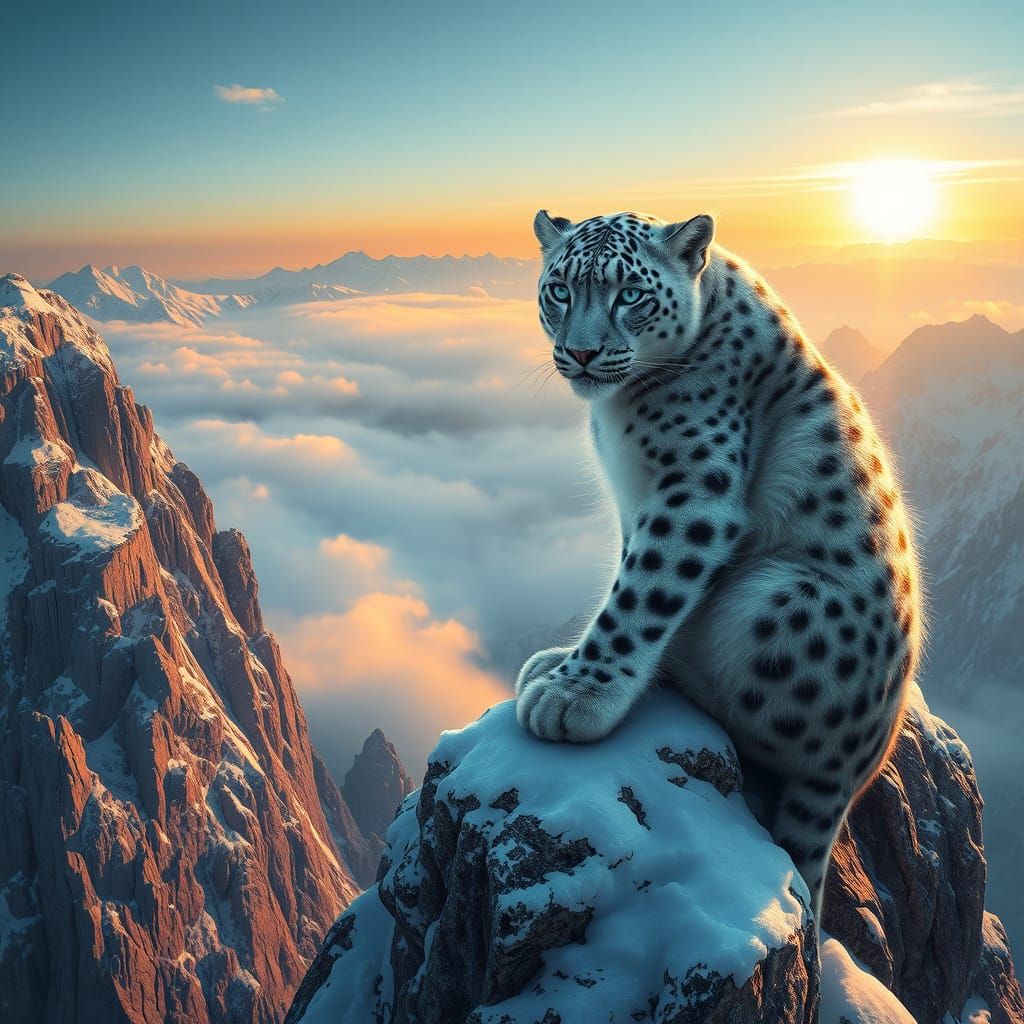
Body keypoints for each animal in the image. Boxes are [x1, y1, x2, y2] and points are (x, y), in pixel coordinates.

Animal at [516, 209, 923, 925]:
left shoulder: (690, 495)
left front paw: (575, 694)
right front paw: (567, 666)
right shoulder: (637, 504)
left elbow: (641, 597)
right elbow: (629, 582)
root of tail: (857, 769)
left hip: (775, 597)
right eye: (559, 290)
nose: (583, 353)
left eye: (631, 294)